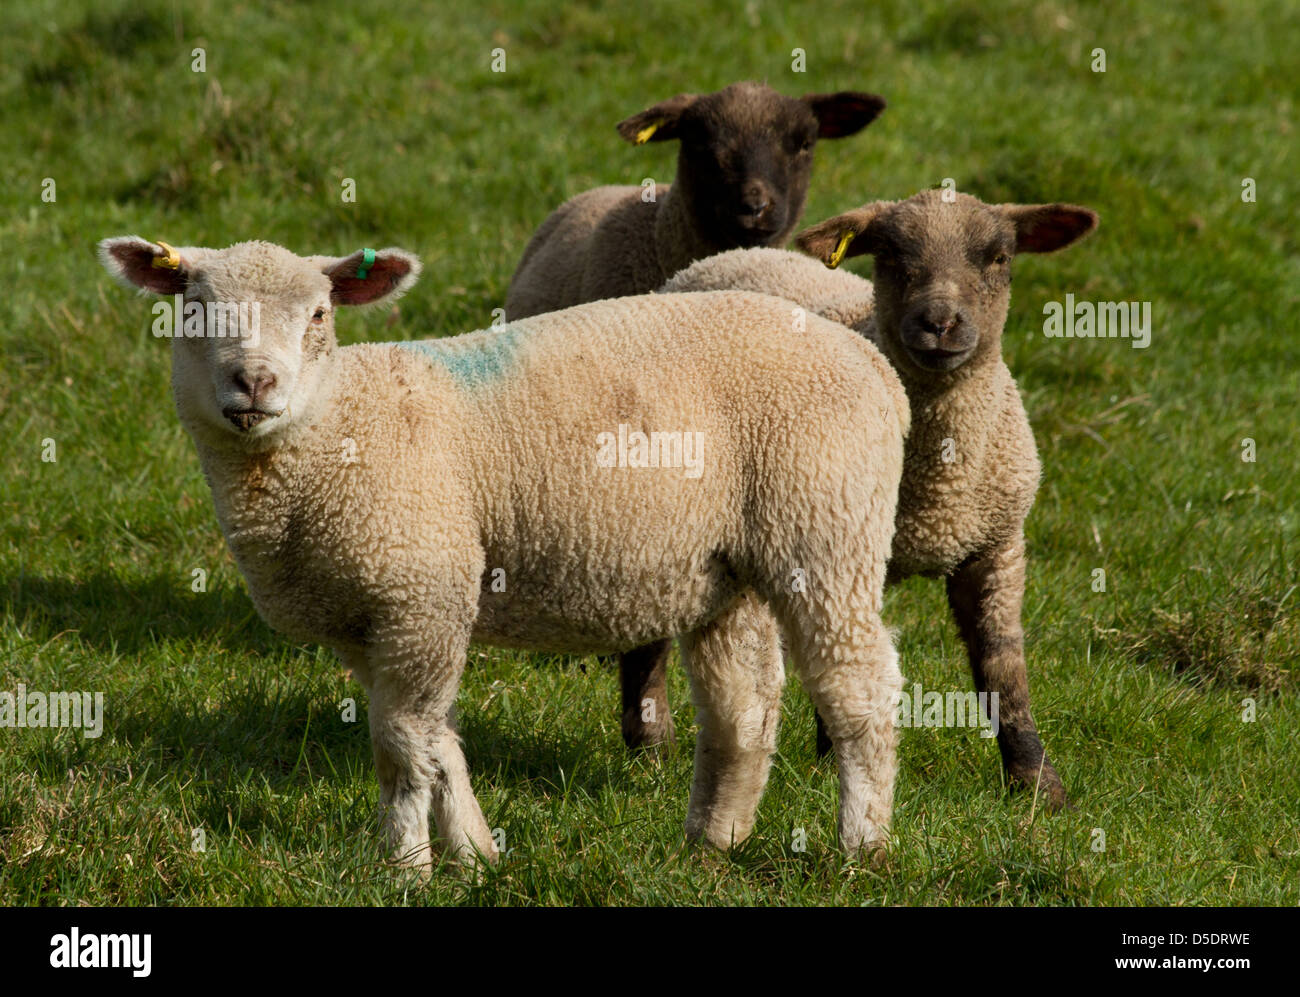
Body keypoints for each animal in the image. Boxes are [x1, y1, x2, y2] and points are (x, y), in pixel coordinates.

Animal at [96, 237, 909, 868]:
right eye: (194, 310)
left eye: (320, 315)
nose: (254, 382)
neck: (340, 427)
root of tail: (873, 363)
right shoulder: (373, 619)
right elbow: (438, 741)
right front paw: (476, 854)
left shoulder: (421, 590)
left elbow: (401, 746)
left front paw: (407, 866)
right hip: (727, 564)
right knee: (744, 704)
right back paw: (712, 844)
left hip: (825, 527)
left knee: (858, 687)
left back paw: (860, 848)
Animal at [650, 189, 1097, 811]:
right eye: (890, 254)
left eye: (999, 256)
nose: (940, 323)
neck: (939, 489)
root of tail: (724, 258)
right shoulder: (849, 545)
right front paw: (831, 761)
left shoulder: (996, 545)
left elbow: (1004, 670)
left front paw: (1038, 787)